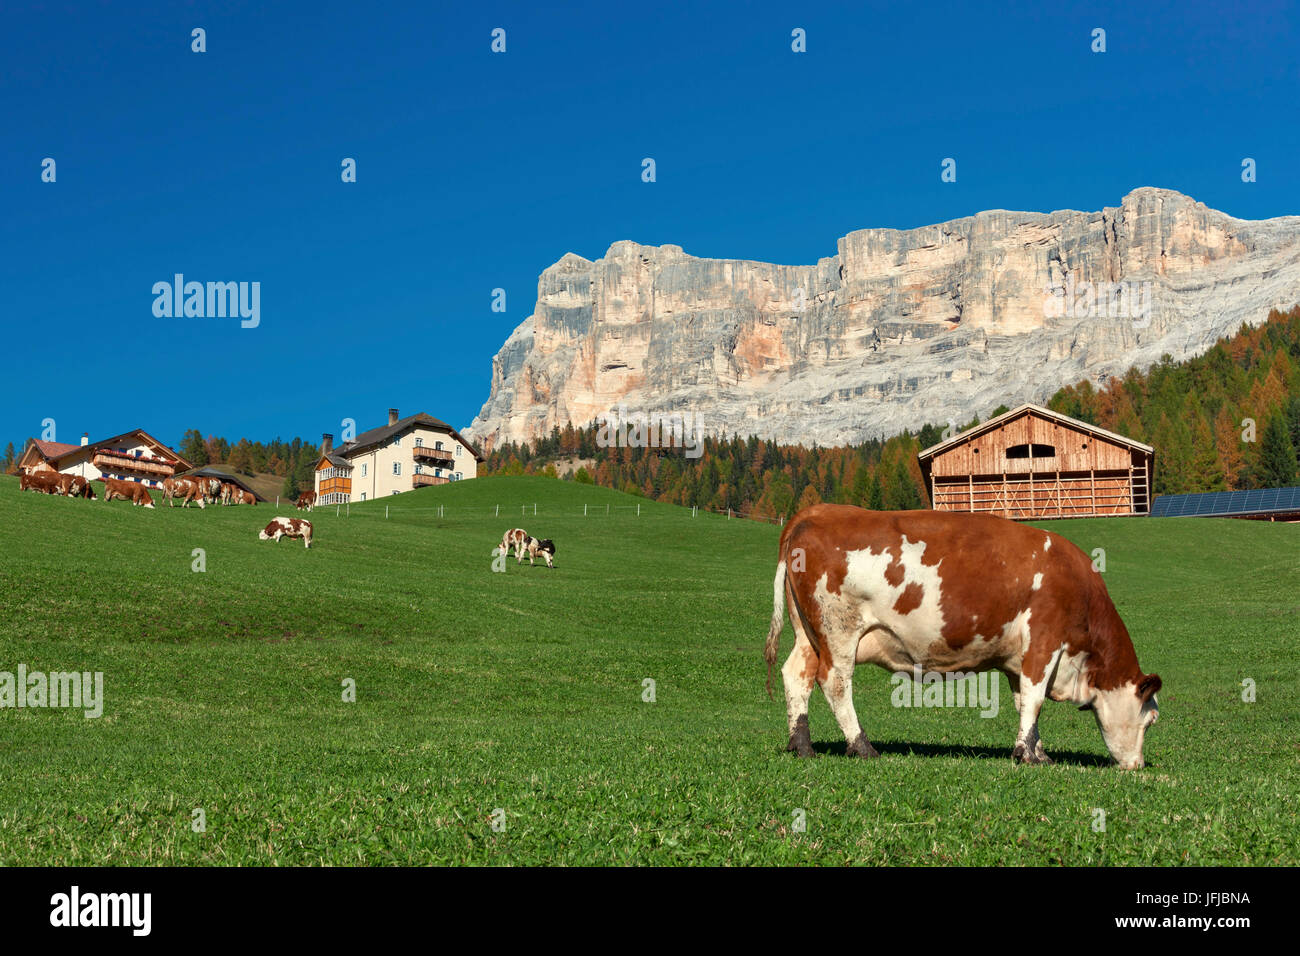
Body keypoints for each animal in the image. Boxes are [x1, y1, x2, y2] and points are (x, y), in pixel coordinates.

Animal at [759, 509, 1164, 770]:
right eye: (1150, 720)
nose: (1137, 765)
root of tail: (815, 512)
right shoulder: (1044, 640)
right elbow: (1034, 700)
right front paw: (1028, 756)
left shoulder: (1019, 659)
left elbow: (1024, 703)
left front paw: (1037, 751)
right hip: (839, 629)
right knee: (835, 681)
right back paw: (862, 747)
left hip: (809, 632)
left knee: (796, 675)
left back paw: (802, 745)